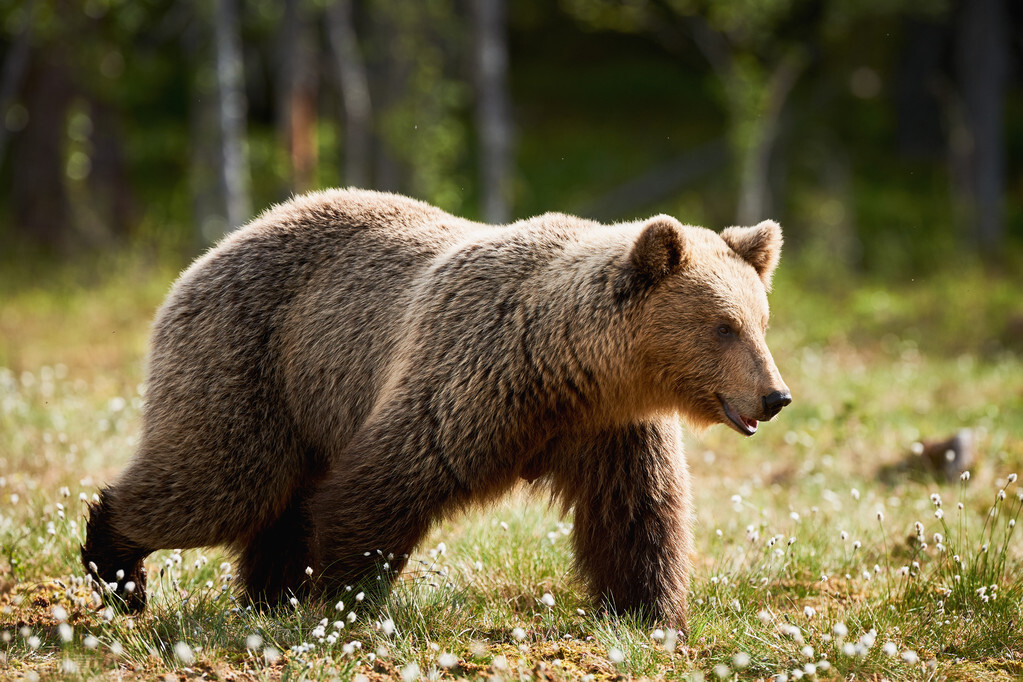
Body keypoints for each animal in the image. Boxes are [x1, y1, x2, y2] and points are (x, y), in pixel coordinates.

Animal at [81, 188, 789, 633]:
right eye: (723, 326)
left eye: (761, 321)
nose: (775, 396)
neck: (570, 369)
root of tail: (211, 251)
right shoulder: (470, 381)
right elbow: (383, 486)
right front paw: (346, 600)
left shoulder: (612, 428)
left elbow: (637, 515)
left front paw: (650, 615)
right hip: (252, 363)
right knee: (221, 480)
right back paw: (119, 570)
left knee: (272, 502)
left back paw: (267, 597)